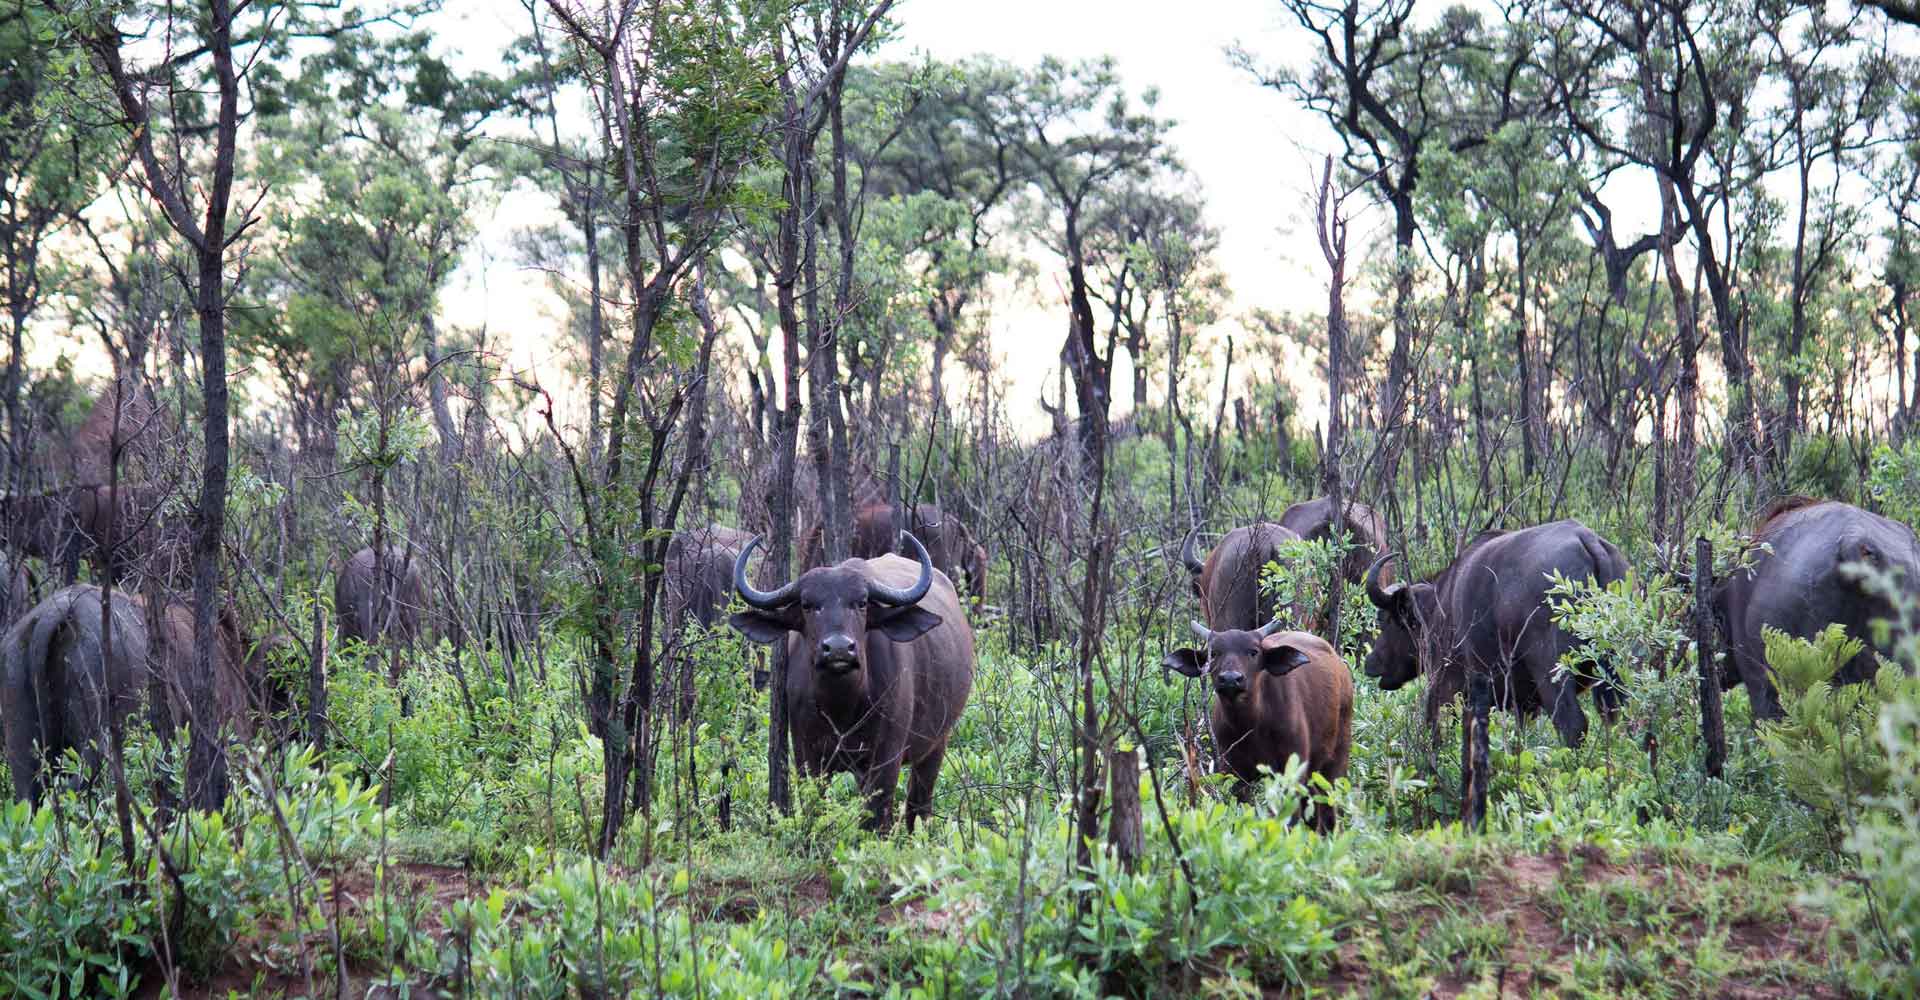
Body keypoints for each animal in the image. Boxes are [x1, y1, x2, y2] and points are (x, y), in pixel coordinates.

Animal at [1152, 621, 1351, 825]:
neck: (1251, 725)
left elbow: (1291, 817)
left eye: (1253, 652)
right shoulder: (1233, 772)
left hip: (1337, 759)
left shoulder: (1292, 769)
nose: (1230, 678)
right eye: (1213, 653)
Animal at [1359, 518, 1628, 744]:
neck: (1438, 608)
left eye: (1386, 619)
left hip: (1552, 673)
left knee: (1572, 724)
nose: (1369, 661)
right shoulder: (1523, 702)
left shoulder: (1446, 685)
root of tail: (1588, 540)